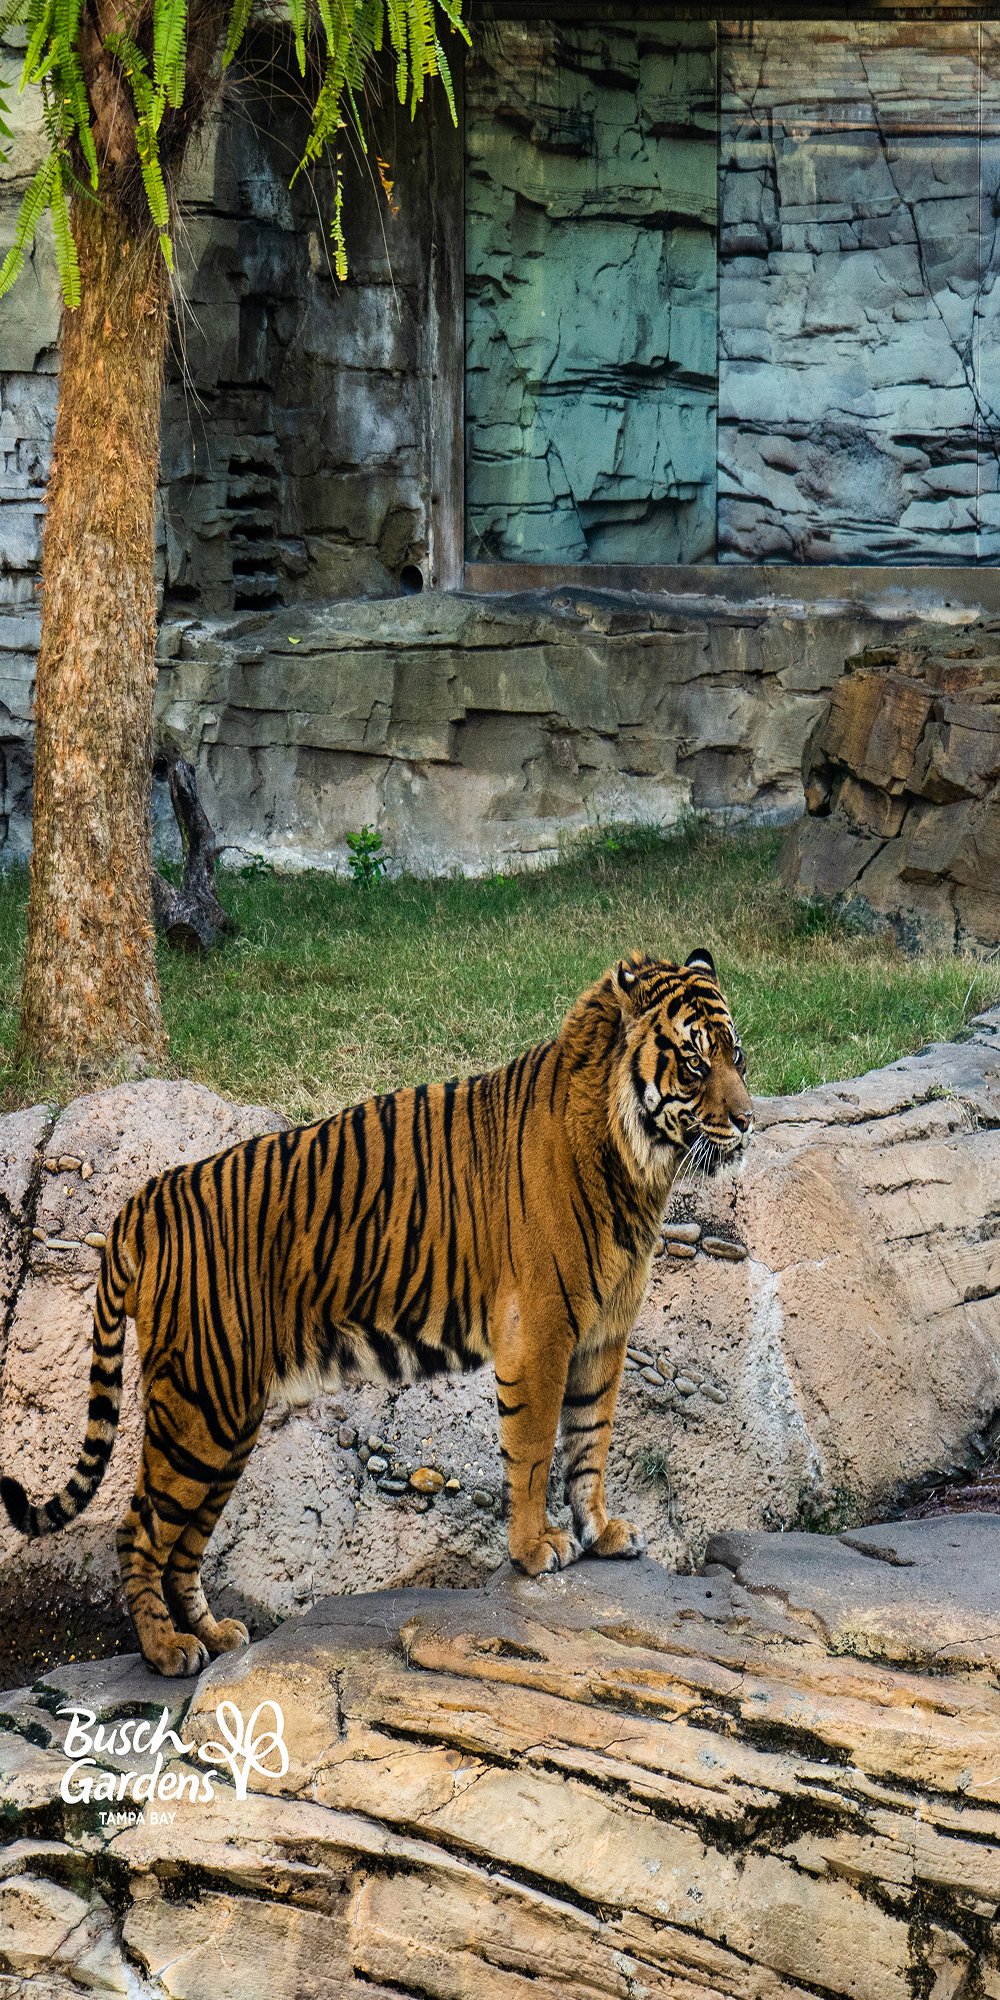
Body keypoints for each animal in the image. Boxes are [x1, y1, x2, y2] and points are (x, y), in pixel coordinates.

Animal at [1, 948, 752, 1677]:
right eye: (694, 1062)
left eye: (736, 1056)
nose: (747, 1121)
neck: (637, 1165)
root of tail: (140, 1203)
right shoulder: (540, 1334)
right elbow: (537, 1449)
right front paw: (537, 1550)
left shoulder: (603, 1335)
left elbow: (592, 1438)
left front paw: (601, 1532)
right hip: (199, 1406)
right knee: (138, 1528)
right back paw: (165, 1652)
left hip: (228, 1418)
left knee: (183, 1541)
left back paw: (213, 1634)